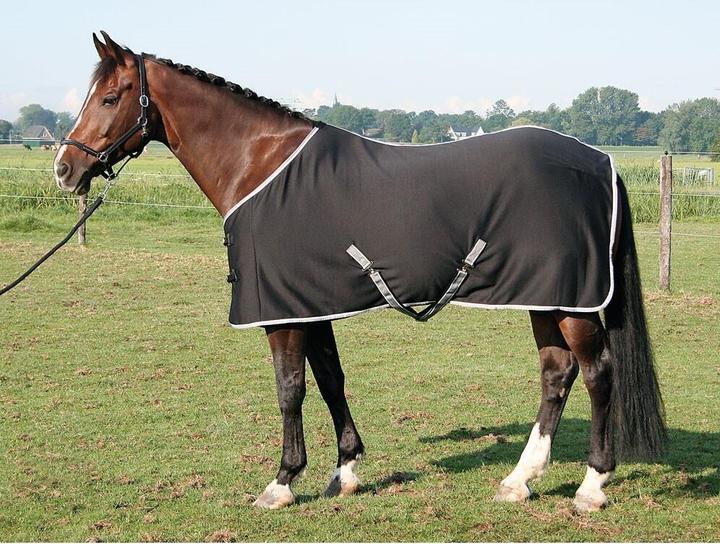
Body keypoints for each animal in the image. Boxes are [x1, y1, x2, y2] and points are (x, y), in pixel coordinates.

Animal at [54, 32, 666, 512]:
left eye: (110, 97)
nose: (64, 168)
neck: (259, 165)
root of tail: (600, 160)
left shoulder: (283, 313)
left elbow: (290, 389)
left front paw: (282, 482)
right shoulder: (310, 302)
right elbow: (330, 380)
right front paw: (344, 471)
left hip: (570, 300)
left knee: (597, 374)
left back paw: (591, 486)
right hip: (543, 297)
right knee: (556, 374)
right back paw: (519, 480)